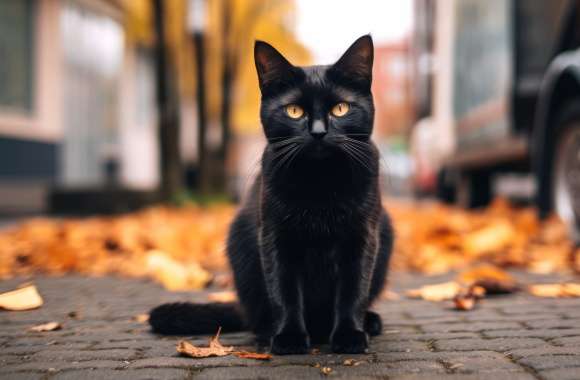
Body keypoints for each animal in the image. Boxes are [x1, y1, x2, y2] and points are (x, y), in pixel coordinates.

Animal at [150, 34, 394, 354]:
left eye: (340, 109)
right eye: (294, 111)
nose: (318, 132)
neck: (320, 183)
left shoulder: (363, 236)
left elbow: (353, 291)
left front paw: (349, 335)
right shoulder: (275, 237)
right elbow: (284, 292)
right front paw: (289, 337)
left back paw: (370, 321)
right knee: (257, 315)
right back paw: (268, 331)